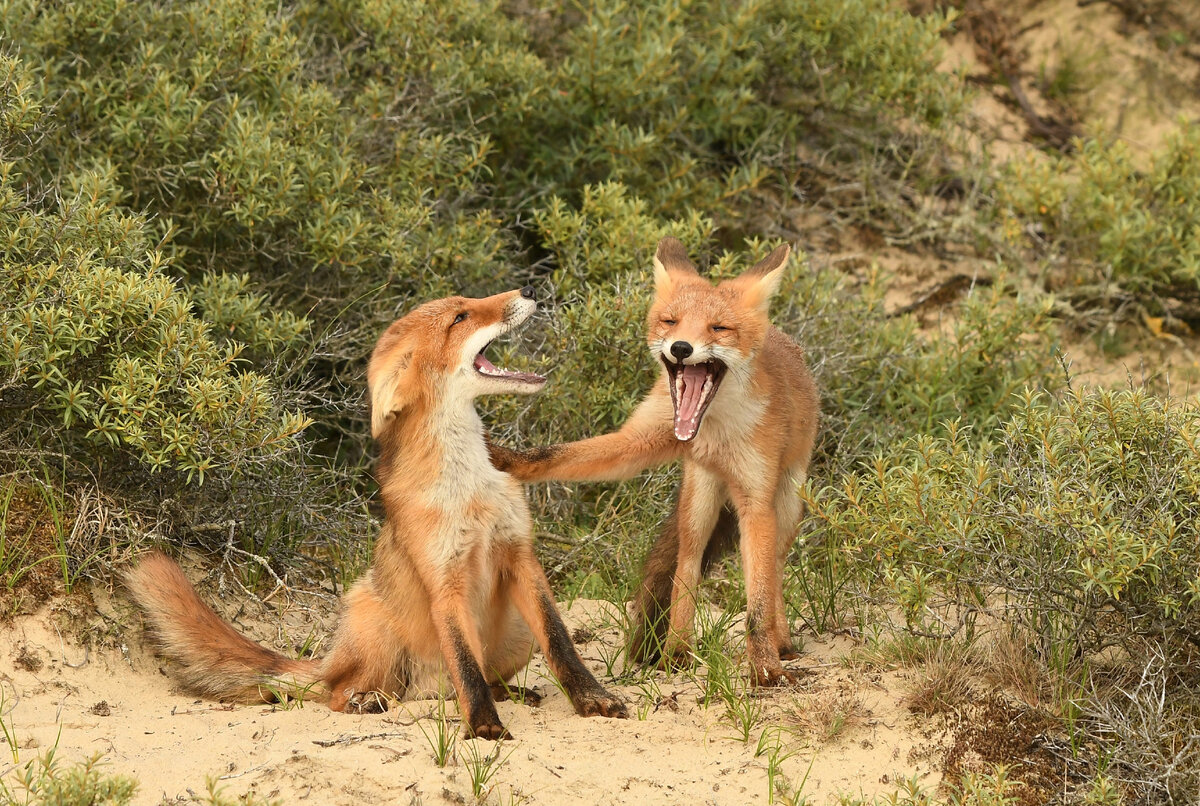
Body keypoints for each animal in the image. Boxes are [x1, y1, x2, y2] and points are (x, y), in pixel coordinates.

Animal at [124, 287, 628, 738]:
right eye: (460, 317)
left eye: (467, 304)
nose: (529, 289)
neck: (469, 490)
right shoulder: (444, 582)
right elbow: (467, 667)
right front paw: (483, 727)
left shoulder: (520, 557)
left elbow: (561, 646)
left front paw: (592, 699)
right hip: (373, 620)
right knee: (341, 693)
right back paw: (367, 701)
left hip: (516, 632)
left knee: (482, 680)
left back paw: (514, 694)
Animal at [484, 239, 816, 686]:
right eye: (670, 322)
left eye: (718, 328)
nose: (681, 348)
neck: (713, 430)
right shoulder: (640, 439)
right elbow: (560, 455)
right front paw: (506, 457)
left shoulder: (756, 499)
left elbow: (758, 602)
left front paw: (765, 667)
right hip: (698, 505)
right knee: (686, 568)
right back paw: (676, 651)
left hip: (786, 506)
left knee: (775, 571)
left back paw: (781, 644)